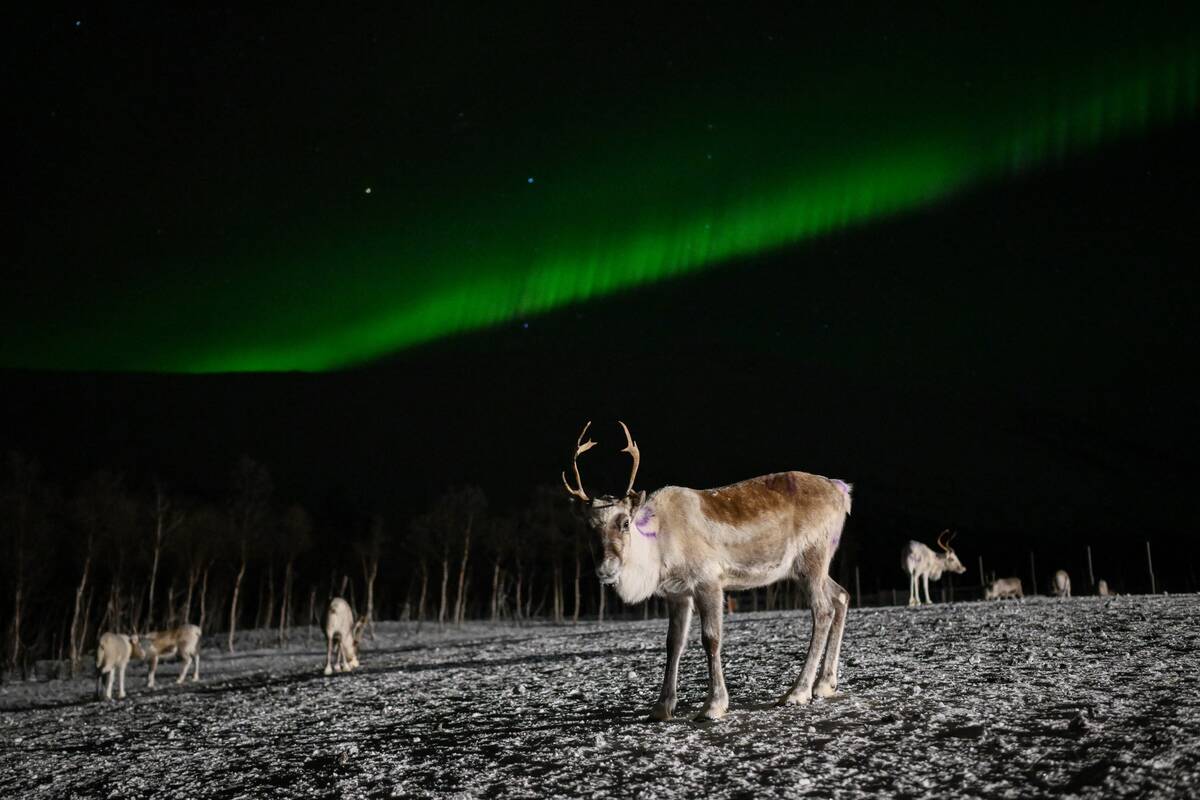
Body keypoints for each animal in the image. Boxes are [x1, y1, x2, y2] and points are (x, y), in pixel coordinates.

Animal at [562, 421, 853, 721]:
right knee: (841, 596)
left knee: (823, 610)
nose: (606, 569)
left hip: (812, 559)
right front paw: (662, 706)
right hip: (809, 568)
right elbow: (673, 643)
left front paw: (713, 705)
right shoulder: (677, 593)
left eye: (625, 522)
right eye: (588, 527)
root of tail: (842, 491)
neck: (659, 544)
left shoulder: (709, 582)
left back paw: (798, 691)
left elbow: (711, 639)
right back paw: (825, 684)